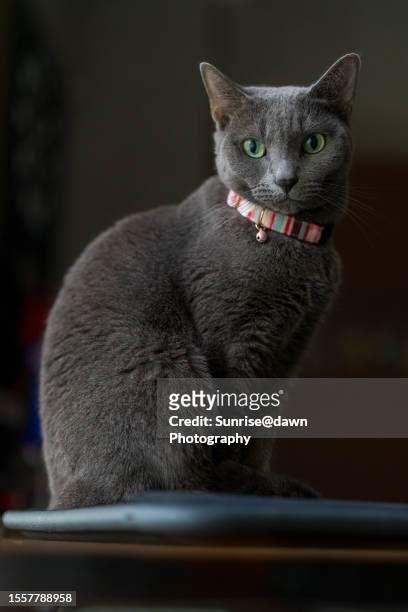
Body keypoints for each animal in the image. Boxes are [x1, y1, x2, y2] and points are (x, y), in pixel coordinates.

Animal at [40, 55, 360, 510]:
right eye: (253, 147)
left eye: (314, 143)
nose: (285, 179)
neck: (288, 237)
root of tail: (68, 493)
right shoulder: (233, 338)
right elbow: (234, 420)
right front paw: (244, 476)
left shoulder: (290, 347)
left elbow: (262, 428)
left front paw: (256, 471)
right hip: (170, 366)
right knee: (182, 475)